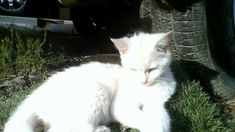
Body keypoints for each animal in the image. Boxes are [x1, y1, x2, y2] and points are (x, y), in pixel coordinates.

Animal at [4, 31, 176, 131]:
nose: (143, 81)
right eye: (133, 69)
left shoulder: (157, 103)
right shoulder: (120, 105)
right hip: (96, 92)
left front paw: (159, 125)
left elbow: (162, 116)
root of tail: (35, 96)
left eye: (152, 69)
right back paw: (102, 129)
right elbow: (137, 116)